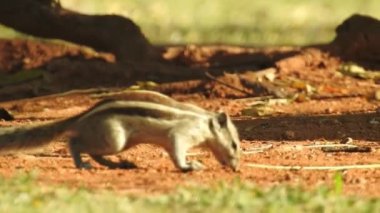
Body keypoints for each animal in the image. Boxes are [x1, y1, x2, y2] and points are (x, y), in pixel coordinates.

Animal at [0, 90, 240, 172]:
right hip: (115, 139)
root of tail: (83, 116)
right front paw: (189, 166)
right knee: (75, 143)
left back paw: (120, 164)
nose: (236, 168)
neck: (205, 122)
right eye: (235, 145)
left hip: (120, 142)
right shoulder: (181, 133)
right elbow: (177, 149)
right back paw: (82, 164)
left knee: (95, 153)